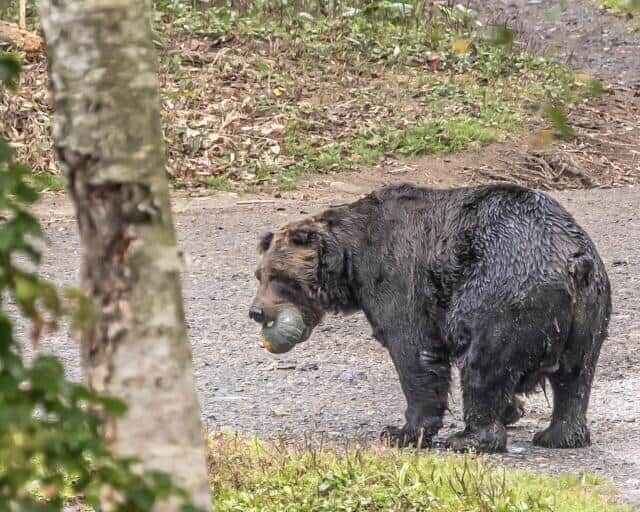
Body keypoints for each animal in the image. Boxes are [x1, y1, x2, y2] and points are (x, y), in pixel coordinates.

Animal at [248, 183, 611, 453]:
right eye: (260, 275)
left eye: (280, 277)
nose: (256, 312)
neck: (353, 260)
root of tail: (571, 259)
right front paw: (513, 409)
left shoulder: (399, 278)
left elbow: (414, 352)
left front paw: (401, 431)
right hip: (589, 313)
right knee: (576, 376)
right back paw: (558, 435)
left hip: (502, 292)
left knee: (482, 364)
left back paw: (468, 438)